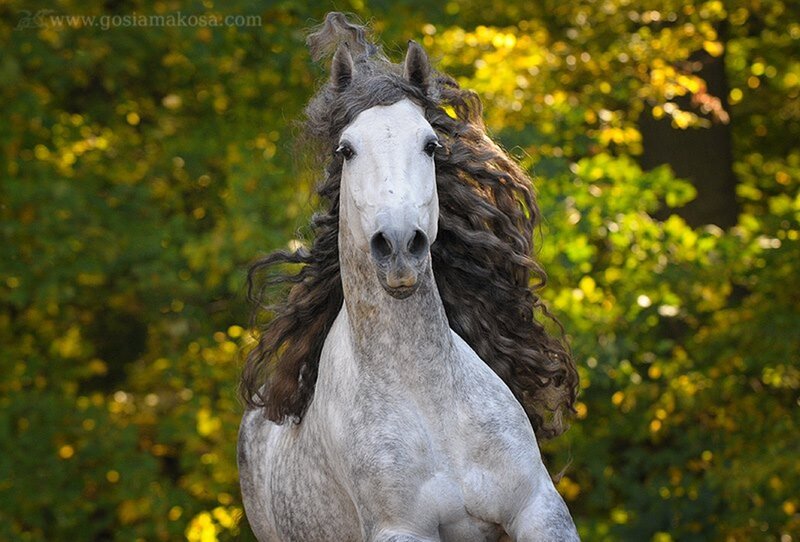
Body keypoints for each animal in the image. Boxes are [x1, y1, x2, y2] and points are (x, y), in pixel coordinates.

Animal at [238, 13, 580, 542]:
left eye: (431, 144)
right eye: (346, 149)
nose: (399, 246)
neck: (430, 402)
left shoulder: (538, 508)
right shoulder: (401, 529)